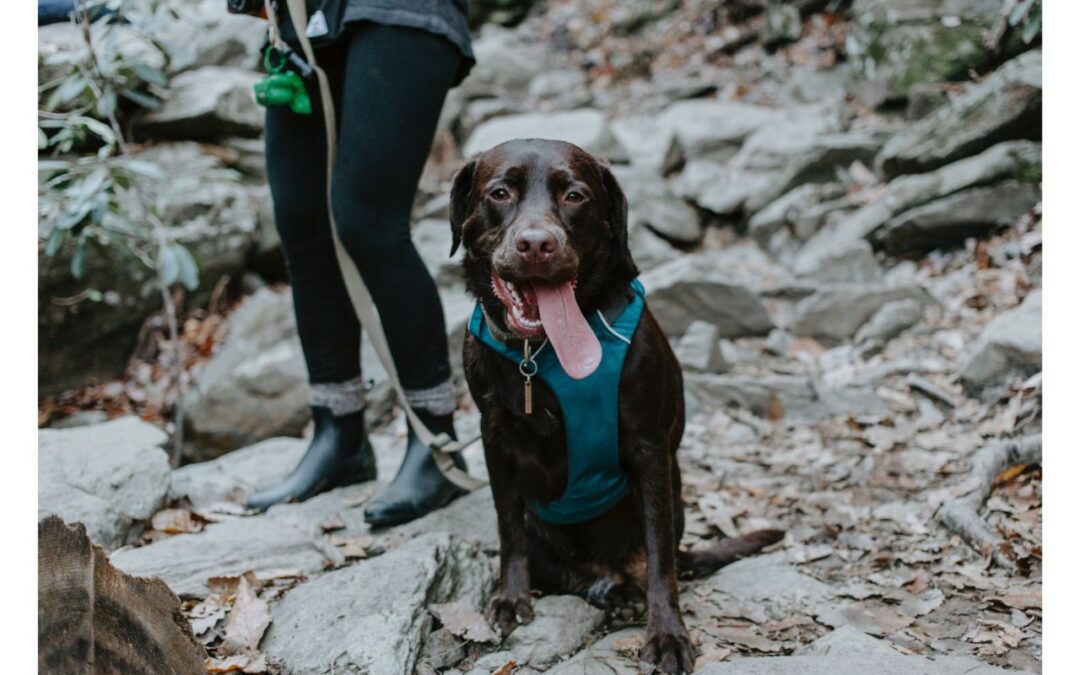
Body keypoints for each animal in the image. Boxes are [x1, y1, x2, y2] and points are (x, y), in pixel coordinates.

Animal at [451, 139, 781, 669]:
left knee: (653, 558)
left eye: (575, 195)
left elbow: (661, 558)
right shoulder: (494, 439)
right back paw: (609, 588)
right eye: (499, 193)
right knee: (562, 565)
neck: (543, 354)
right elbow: (508, 530)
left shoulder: (650, 449)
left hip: (674, 498)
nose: (537, 244)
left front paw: (667, 635)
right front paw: (510, 597)